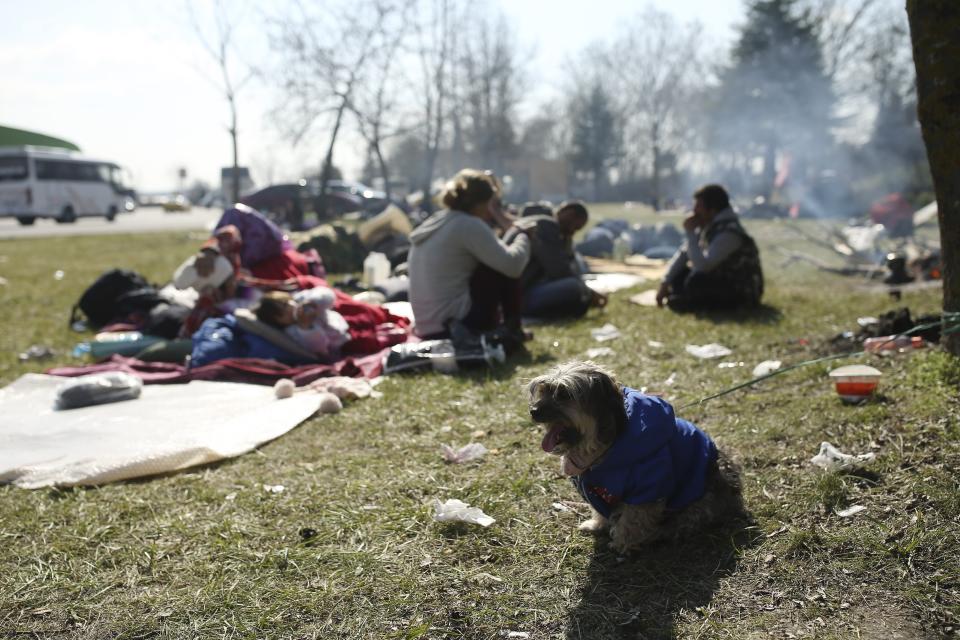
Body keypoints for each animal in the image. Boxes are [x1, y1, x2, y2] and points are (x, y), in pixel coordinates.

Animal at [524, 362, 744, 552]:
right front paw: (596, 524)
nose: (533, 411)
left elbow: (632, 519)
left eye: (563, 394)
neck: (606, 446)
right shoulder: (597, 491)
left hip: (698, 502)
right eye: (544, 390)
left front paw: (621, 543)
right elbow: (600, 510)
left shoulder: (647, 489)